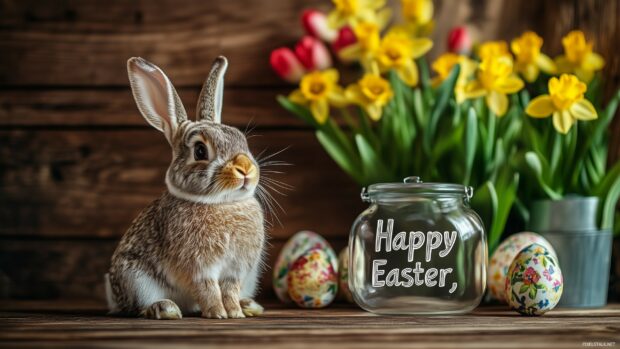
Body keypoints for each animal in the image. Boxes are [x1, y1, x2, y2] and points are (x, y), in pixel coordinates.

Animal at [102, 55, 266, 320]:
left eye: (242, 140)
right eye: (200, 151)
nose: (245, 168)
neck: (222, 203)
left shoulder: (235, 270)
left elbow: (229, 290)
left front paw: (234, 313)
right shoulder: (199, 268)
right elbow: (208, 289)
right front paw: (218, 314)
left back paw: (249, 306)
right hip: (135, 279)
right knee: (139, 306)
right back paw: (164, 308)